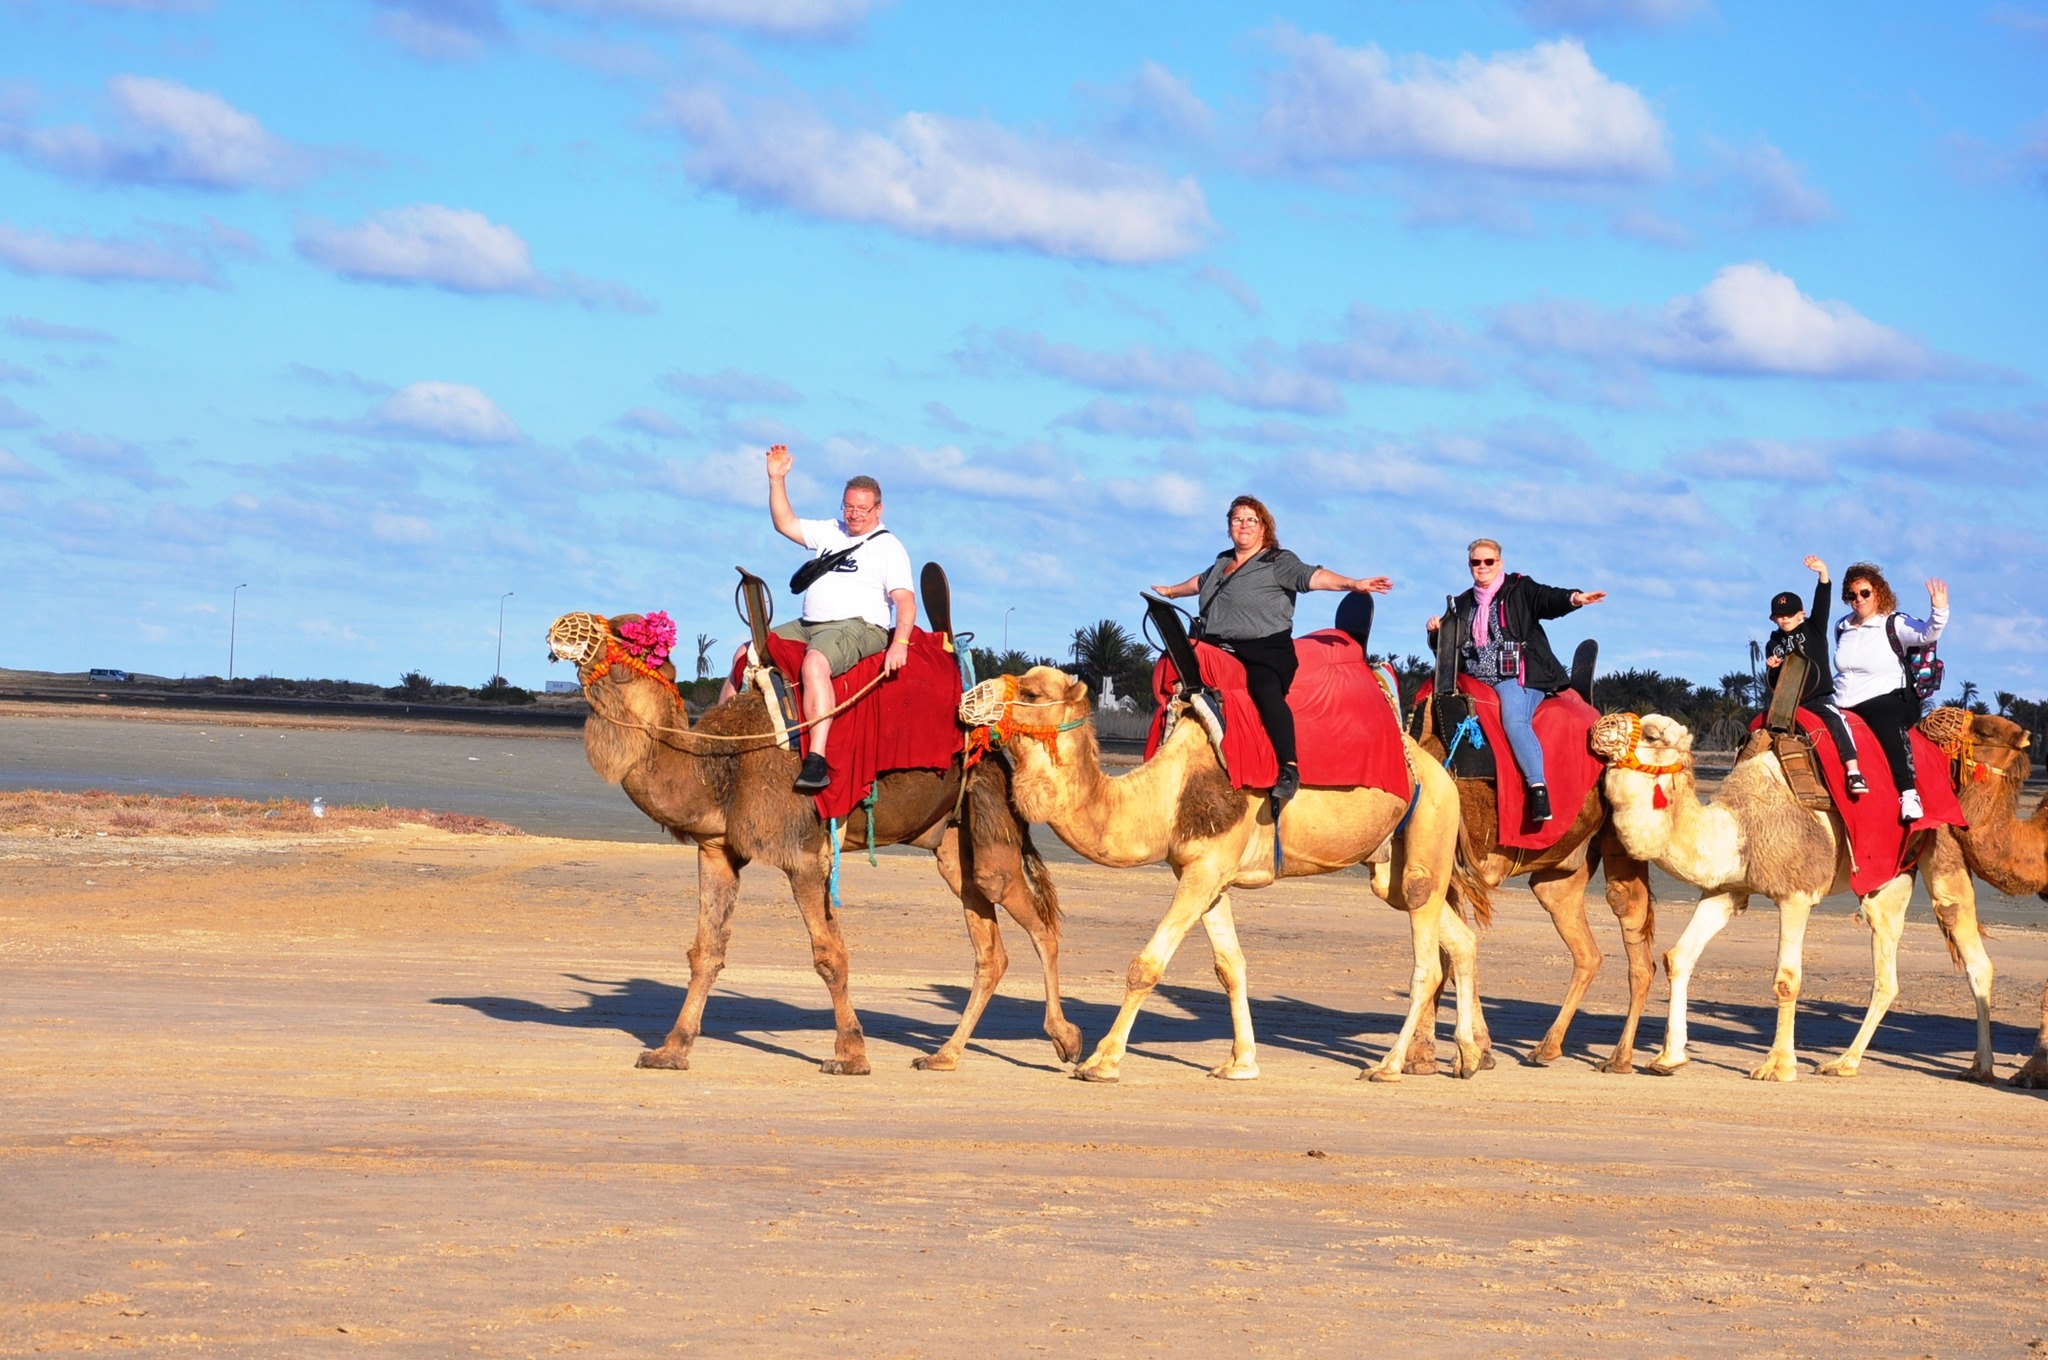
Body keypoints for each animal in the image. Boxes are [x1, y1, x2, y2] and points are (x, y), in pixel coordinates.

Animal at [548, 612, 1082, 1075]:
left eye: (629, 634)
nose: (562, 626)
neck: (721, 765)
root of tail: (993, 745)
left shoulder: (803, 855)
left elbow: (829, 956)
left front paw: (849, 1055)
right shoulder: (717, 850)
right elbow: (706, 950)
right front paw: (670, 1050)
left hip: (988, 807)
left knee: (1036, 919)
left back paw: (1066, 1040)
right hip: (952, 841)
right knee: (990, 945)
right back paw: (943, 1056)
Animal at [961, 666, 1487, 1083]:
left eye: (1032, 693)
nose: (970, 701)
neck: (1165, 797)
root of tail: (1441, 774)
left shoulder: (1204, 870)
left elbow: (1146, 965)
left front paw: (1100, 1062)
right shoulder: (1206, 876)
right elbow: (1230, 966)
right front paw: (1241, 1063)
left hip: (1428, 835)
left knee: (1426, 962)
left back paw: (1389, 1066)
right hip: (1388, 868)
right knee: (1459, 937)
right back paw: (1469, 1056)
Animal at [1412, 694, 1656, 1073]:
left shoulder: (1454, 874)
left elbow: (1450, 955)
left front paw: (1456, 1055)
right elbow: (1450, 953)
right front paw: (1456, 1054)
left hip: (1624, 845)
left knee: (1637, 946)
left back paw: (1619, 1059)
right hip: (1559, 877)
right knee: (1587, 952)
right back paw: (1548, 1047)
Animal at [1590, 712, 1993, 1081]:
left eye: (1653, 734)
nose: (1600, 725)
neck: (1740, 827)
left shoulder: (1796, 894)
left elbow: (1786, 978)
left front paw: (1778, 1067)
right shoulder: (1726, 889)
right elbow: (1678, 957)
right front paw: (1669, 1058)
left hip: (1943, 850)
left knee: (1969, 948)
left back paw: (1981, 1068)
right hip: (1889, 880)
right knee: (1887, 968)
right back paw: (1845, 1063)